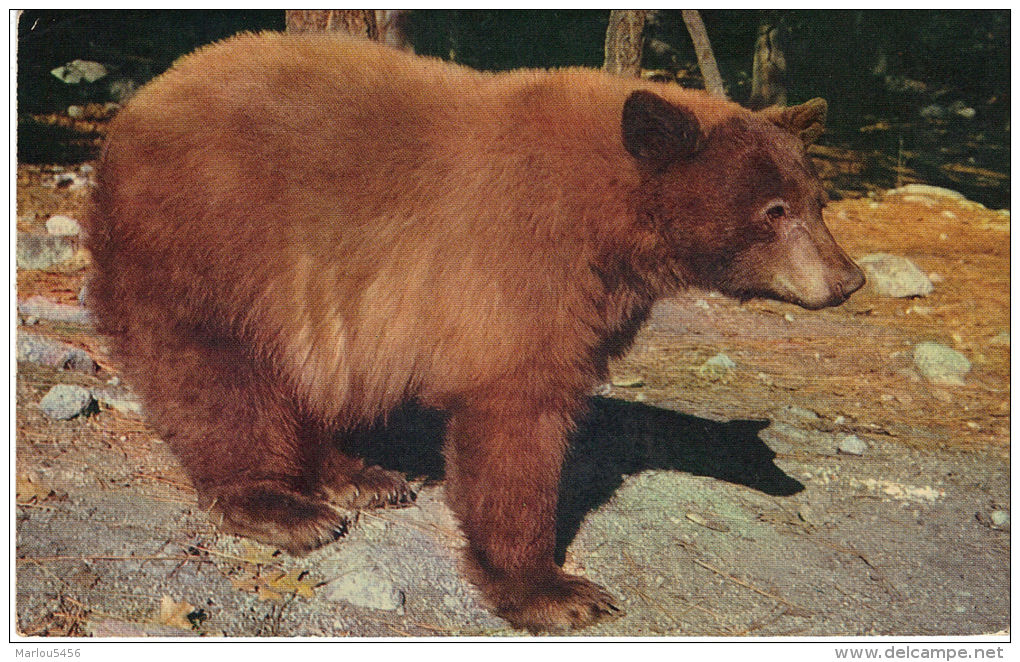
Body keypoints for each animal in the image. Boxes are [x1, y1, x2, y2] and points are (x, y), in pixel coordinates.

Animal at [85, 30, 860, 628]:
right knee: (217, 378)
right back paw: (282, 504)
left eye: (816, 200)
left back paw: (356, 474)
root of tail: (136, 107)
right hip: (210, 244)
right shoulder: (519, 262)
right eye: (773, 211)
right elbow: (517, 415)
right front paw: (554, 591)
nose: (847, 279)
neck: (613, 219)